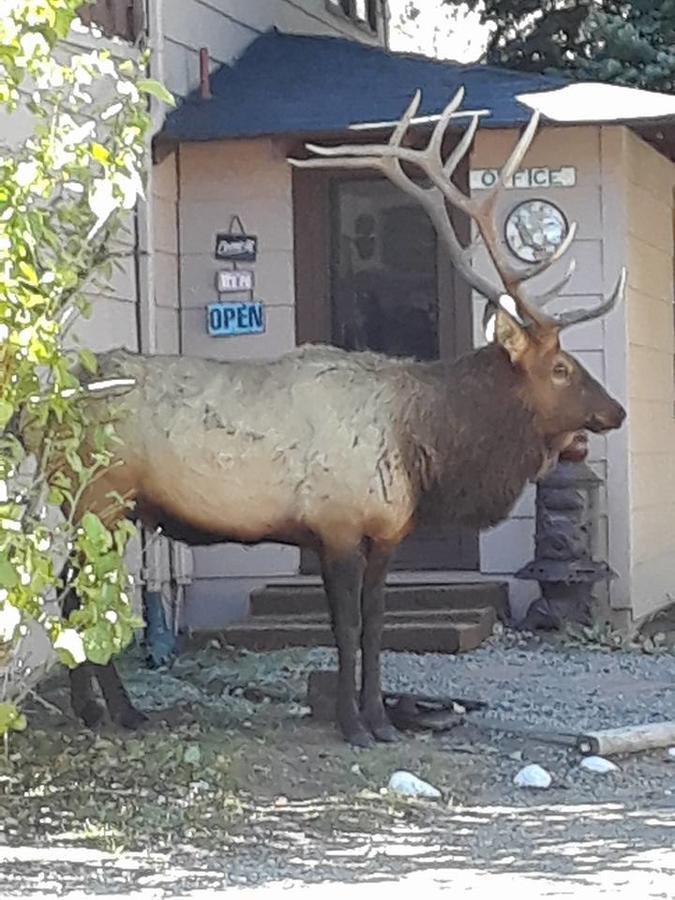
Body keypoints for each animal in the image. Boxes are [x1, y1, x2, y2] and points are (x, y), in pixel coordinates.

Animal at [21, 86, 624, 744]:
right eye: (561, 367)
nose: (616, 411)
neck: (425, 446)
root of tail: (33, 414)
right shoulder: (335, 527)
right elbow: (347, 628)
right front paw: (354, 724)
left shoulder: (386, 534)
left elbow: (378, 627)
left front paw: (382, 720)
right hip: (95, 495)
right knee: (73, 590)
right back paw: (116, 710)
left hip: (106, 506)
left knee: (69, 588)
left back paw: (99, 707)